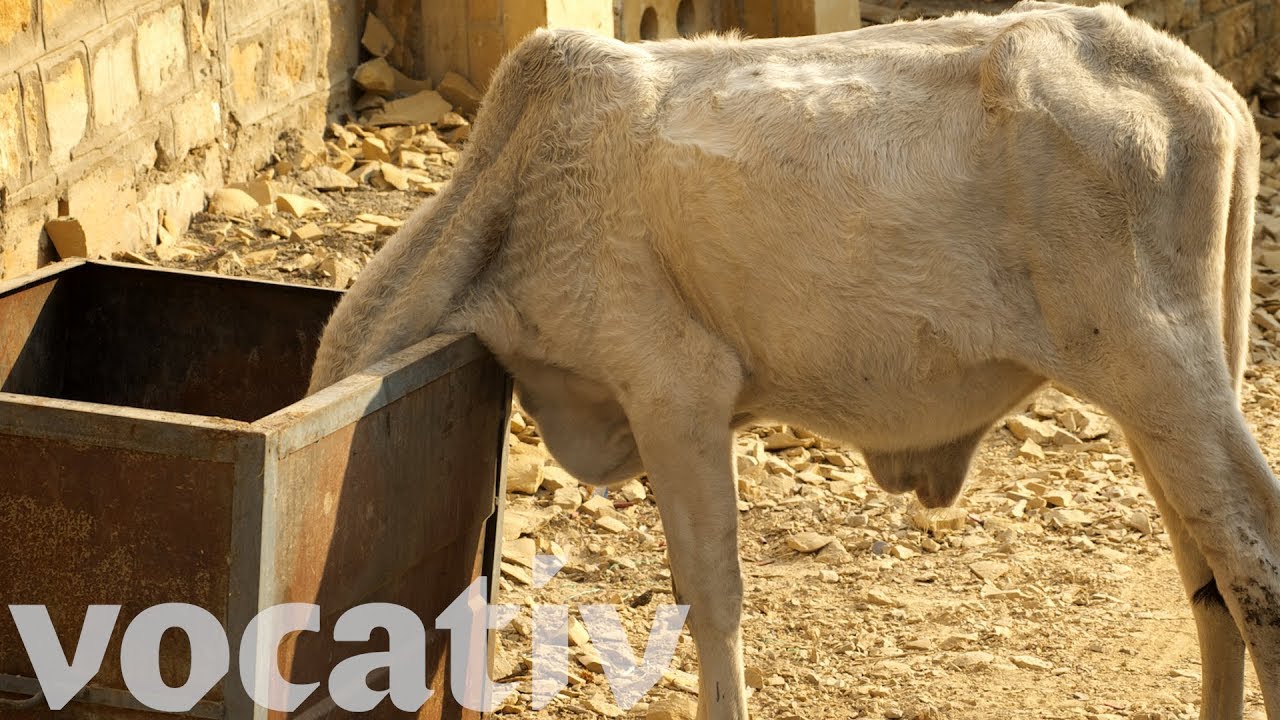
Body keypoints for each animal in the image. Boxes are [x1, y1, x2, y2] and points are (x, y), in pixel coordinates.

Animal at [307, 2, 1279, 717]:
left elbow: (710, 595)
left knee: (1250, 558)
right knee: (1206, 580)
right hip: (1179, 389)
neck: (509, 199)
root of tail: (1206, 90)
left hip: (1158, 374)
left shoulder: (674, 390)